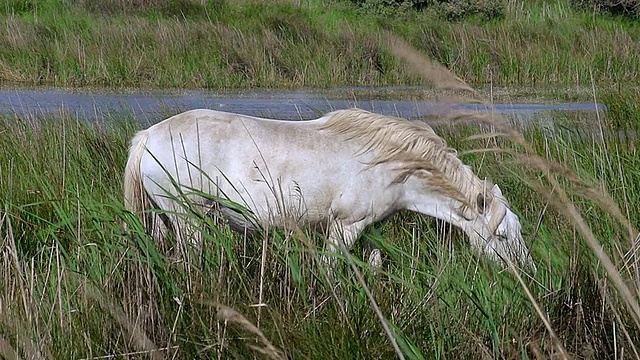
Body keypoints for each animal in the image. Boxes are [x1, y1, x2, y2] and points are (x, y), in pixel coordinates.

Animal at [125, 109, 536, 270]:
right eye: (501, 236)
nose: (527, 274)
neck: (392, 165)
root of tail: (149, 136)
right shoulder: (345, 227)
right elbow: (329, 269)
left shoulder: (371, 229)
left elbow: (373, 266)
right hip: (186, 217)